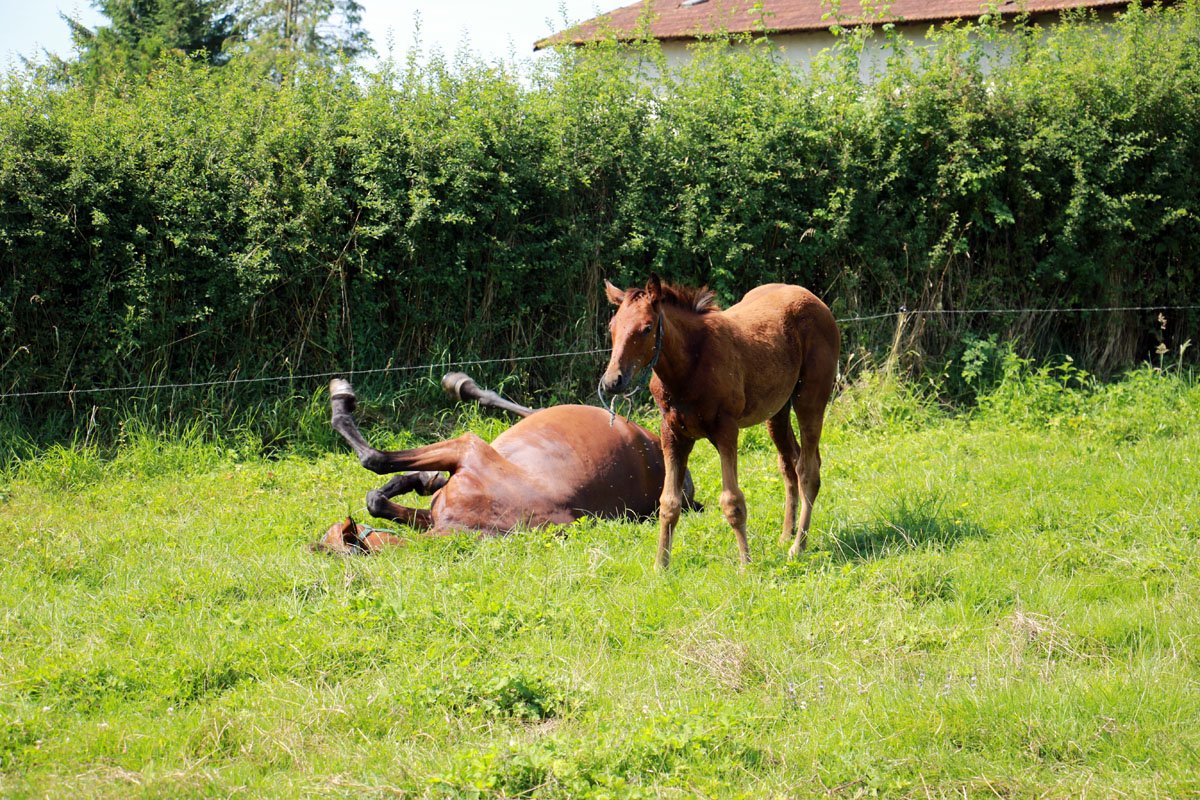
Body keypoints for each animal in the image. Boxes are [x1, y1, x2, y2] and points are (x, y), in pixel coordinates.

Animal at [323, 372, 700, 550]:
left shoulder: (467, 448)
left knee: (523, 407)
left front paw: (341, 400)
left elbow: (375, 459)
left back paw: (461, 385)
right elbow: (378, 500)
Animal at [600, 274, 840, 569]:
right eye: (612, 327)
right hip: (777, 411)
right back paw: (786, 535)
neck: (689, 366)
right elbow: (668, 503)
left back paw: (798, 546)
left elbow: (732, 501)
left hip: (810, 399)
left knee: (808, 470)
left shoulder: (726, 430)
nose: (612, 381)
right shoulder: (673, 434)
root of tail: (816, 301)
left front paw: (746, 564)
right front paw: (660, 566)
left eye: (646, 328)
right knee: (790, 464)